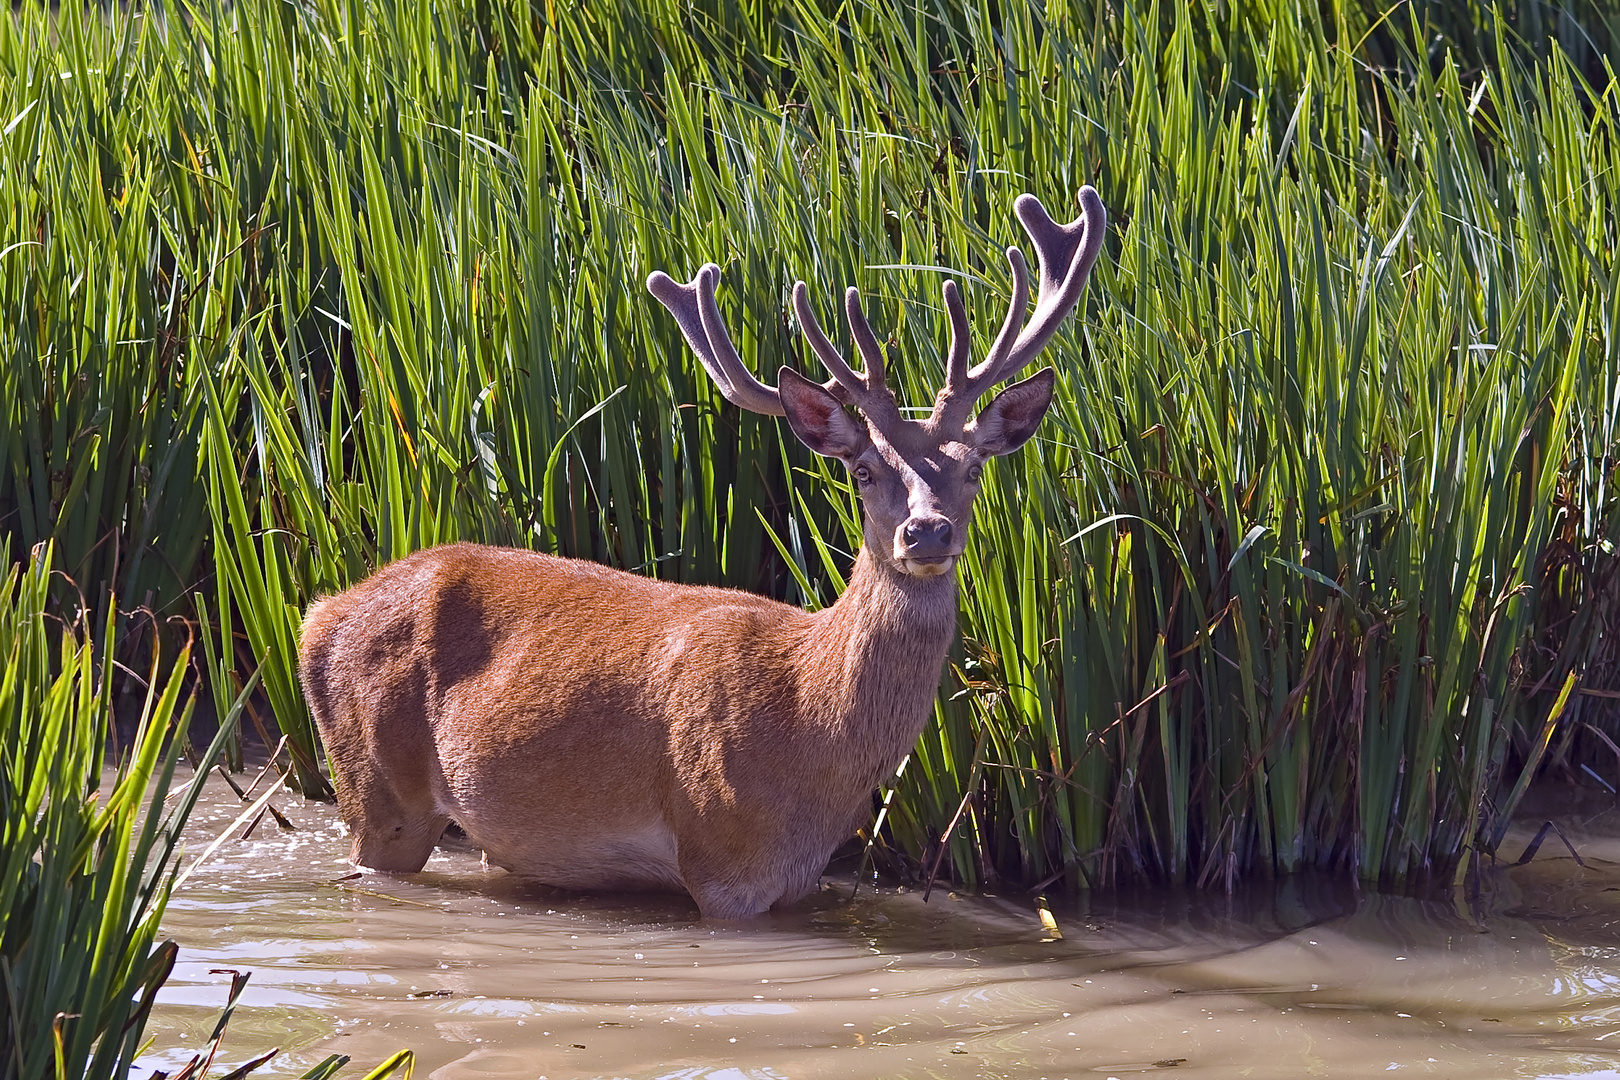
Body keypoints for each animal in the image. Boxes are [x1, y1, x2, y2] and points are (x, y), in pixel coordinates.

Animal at [298, 190, 1108, 919]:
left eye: (974, 468)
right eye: (863, 470)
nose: (927, 533)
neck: (811, 730)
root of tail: (317, 613)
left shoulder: (795, 879)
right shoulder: (724, 854)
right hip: (375, 786)